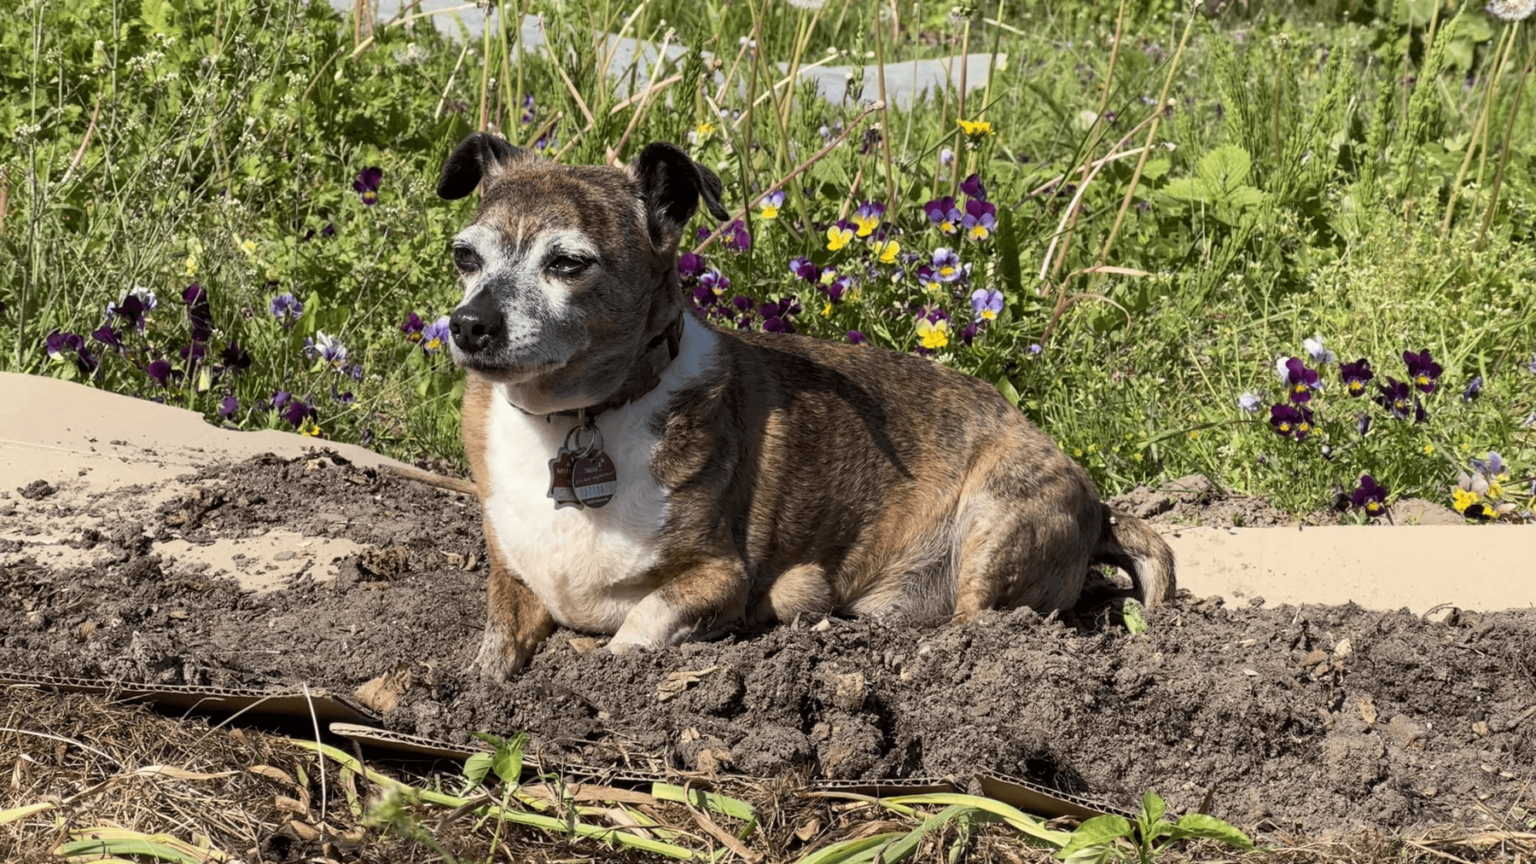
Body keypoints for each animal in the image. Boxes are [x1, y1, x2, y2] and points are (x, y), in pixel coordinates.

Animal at [436, 132, 1173, 679]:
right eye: (465, 257)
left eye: (568, 263)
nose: (468, 324)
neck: (576, 419)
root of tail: (1095, 501)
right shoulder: (512, 576)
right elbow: (496, 639)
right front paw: (475, 686)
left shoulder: (717, 579)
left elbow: (641, 625)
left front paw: (602, 670)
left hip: (996, 520)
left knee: (980, 627)